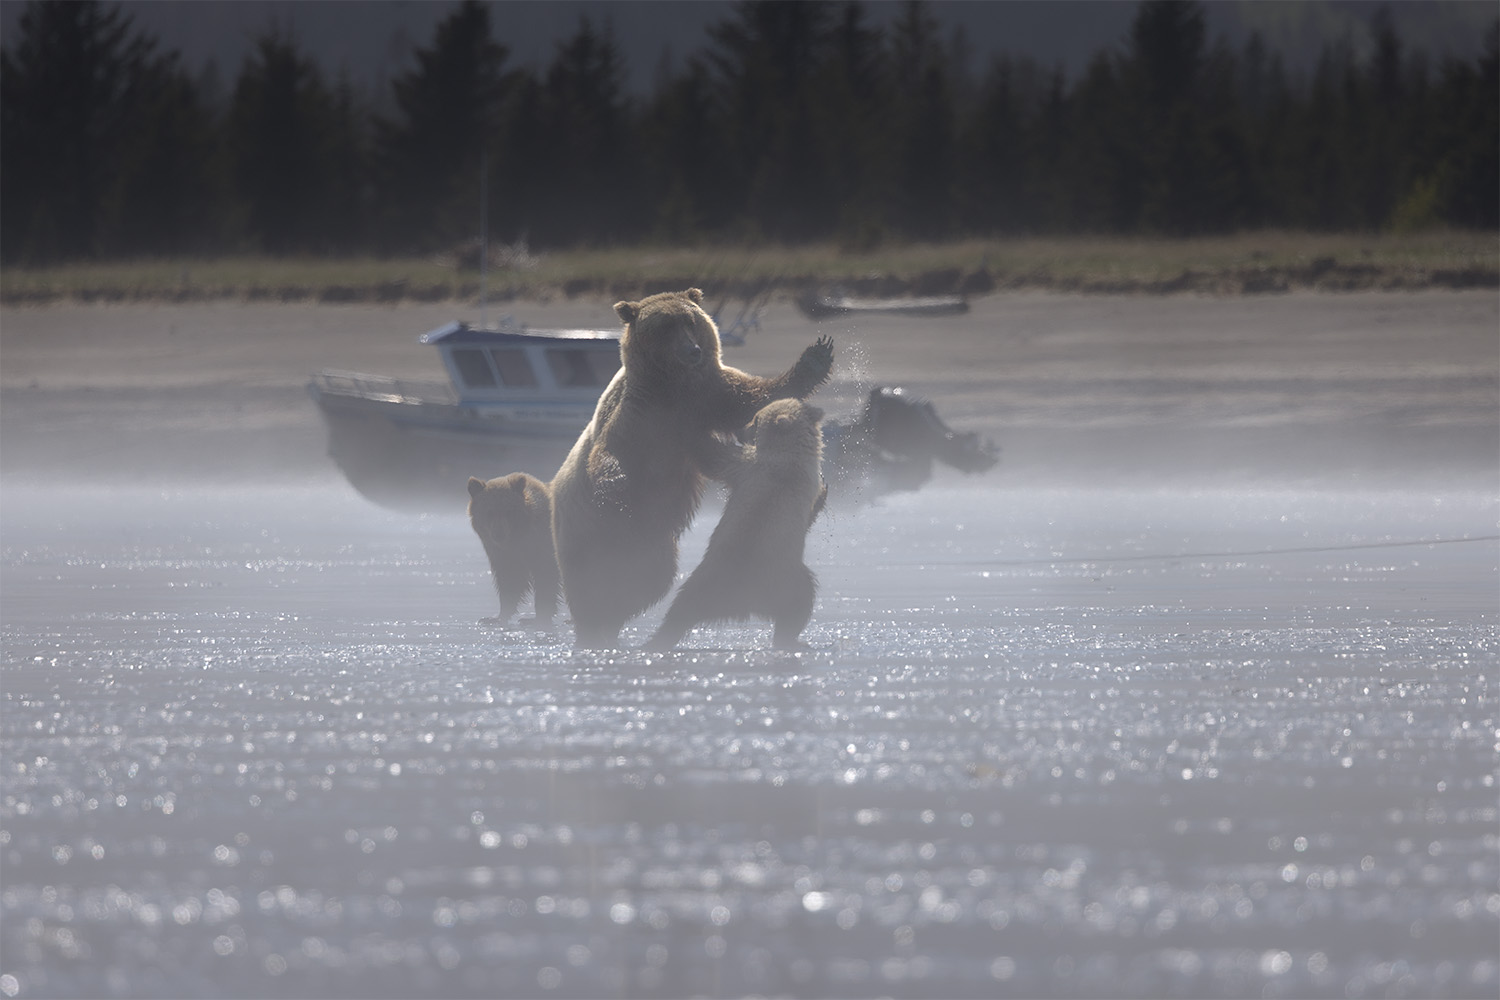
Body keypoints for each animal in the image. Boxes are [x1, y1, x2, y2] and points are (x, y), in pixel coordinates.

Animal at [466, 472, 560, 626]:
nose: (498, 533)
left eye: (508, 511)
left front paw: (538, 617)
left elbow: (545, 575)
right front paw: (496, 617)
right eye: (489, 512)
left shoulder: (542, 545)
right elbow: (510, 579)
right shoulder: (504, 553)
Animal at [645, 399, 827, 651]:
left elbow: (713, 456)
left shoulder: (752, 466)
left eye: (756, 419)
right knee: (684, 605)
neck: (790, 454)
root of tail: (743, 604)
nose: (740, 430)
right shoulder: (756, 469)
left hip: (778, 576)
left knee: (800, 599)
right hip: (712, 576)